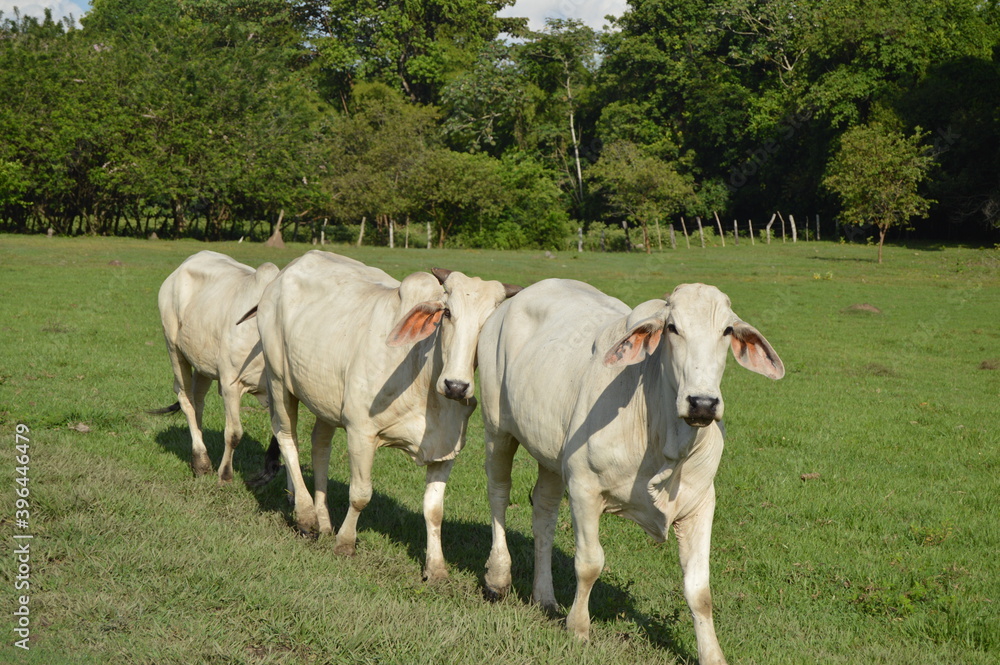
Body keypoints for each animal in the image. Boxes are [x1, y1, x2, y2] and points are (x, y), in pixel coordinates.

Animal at [156, 250, 280, 481]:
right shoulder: (231, 384)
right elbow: (234, 433)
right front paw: (225, 475)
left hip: (201, 363)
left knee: (197, 402)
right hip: (174, 349)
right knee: (186, 399)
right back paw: (201, 461)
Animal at [250, 250, 520, 580]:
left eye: (488, 325)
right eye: (447, 313)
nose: (456, 386)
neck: (426, 384)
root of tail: (288, 269)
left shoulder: (446, 451)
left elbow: (434, 511)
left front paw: (436, 568)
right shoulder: (361, 432)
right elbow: (361, 493)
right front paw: (345, 543)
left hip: (323, 397)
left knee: (319, 448)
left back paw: (323, 520)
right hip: (278, 379)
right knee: (287, 438)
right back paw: (305, 516)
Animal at [477, 280, 784, 665]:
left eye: (727, 330)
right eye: (673, 328)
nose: (702, 403)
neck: (664, 440)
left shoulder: (701, 503)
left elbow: (699, 590)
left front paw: (712, 654)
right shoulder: (584, 486)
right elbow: (589, 563)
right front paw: (578, 629)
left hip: (550, 455)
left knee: (543, 515)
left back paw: (544, 597)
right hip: (497, 428)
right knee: (498, 494)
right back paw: (498, 576)